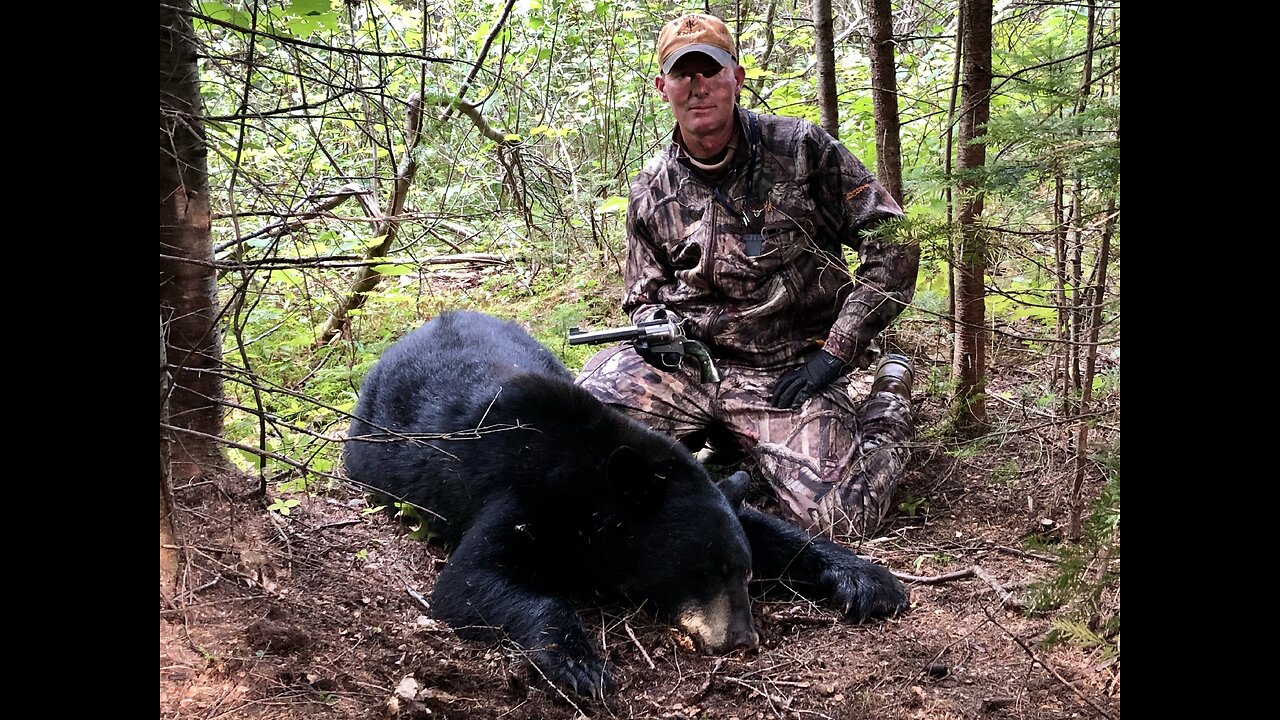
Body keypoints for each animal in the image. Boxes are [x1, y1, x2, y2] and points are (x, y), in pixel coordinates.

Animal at [340, 308, 901, 696]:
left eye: (740, 571)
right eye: (704, 571)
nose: (743, 639)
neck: (597, 490)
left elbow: (766, 526)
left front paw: (867, 579)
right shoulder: (524, 498)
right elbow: (469, 581)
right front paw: (579, 664)